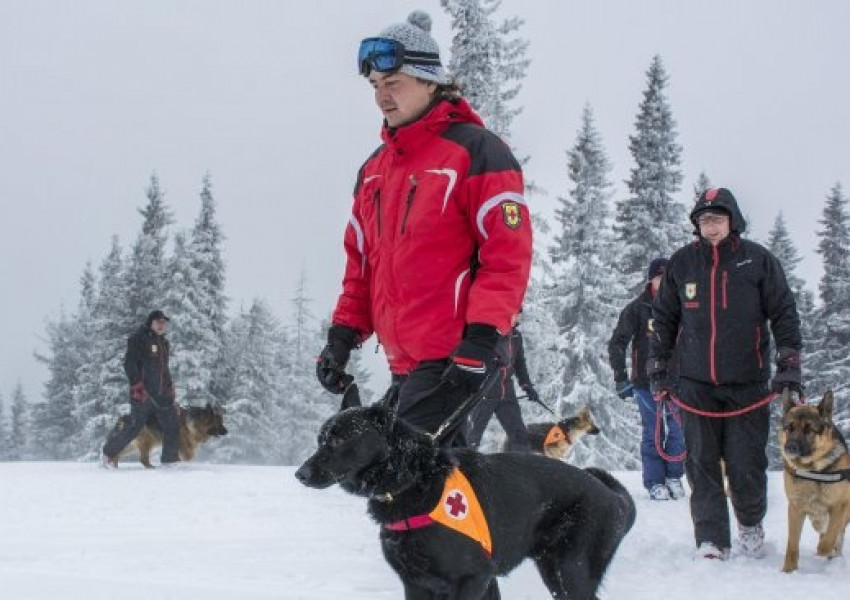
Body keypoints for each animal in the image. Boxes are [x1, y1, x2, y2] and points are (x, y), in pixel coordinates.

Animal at [294, 406, 632, 596]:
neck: (413, 481)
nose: (300, 474)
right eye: (320, 440)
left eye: (339, 439)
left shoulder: (473, 579)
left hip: (571, 572)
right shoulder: (417, 585)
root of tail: (614, 497)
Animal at [780, 390, 844, 572]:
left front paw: (826, 549)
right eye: (789, 428)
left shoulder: (841, 505)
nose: (790, 447)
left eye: (809, 430)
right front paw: (789, 570)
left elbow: (829, 538)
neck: (813, 470)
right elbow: (792, 544)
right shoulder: (795, 509)